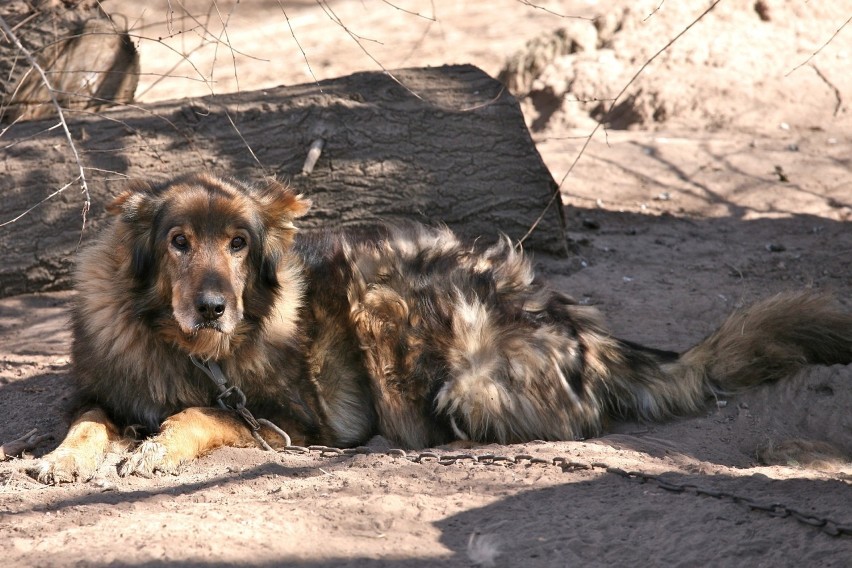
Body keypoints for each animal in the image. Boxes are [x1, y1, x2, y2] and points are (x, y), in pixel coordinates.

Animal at [33, 173, 852, 484]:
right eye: (178, 241)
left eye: (237, 244)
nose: (212, 306)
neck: (186, 349)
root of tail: (584, 328)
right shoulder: (101, 387)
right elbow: (86, 422)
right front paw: (63, 459)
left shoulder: (288, 422)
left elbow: (200, 413)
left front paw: (156, 448)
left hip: (399, 309)